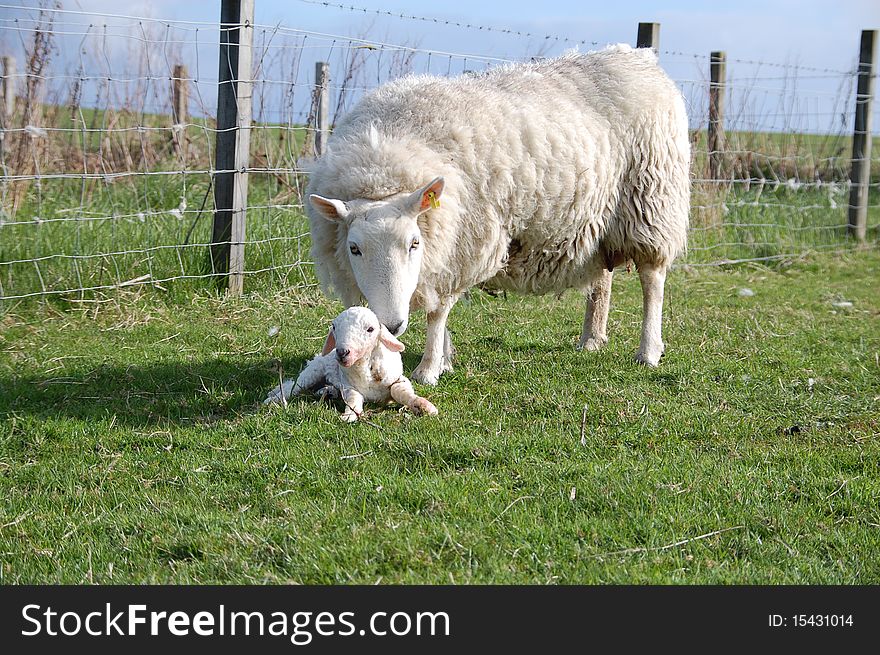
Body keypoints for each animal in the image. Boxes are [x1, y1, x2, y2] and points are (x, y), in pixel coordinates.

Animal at [262, 304, 438, 422]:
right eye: (334, 327)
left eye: (370, 329)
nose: (342, 352)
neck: (367, 368)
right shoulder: (348, 386)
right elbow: (353, 398)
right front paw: (349, 415)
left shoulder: (398, 379)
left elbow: (400, 391)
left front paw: (423, 406)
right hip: (314, 370)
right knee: (295, 385)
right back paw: (275, 397)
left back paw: (327, 392)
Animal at [306, 44, 692, 384]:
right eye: (354, 249)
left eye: (414, 243)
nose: (393, 324)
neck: (383, 165)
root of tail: (638, 57)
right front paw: (444, 359)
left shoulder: (460, 244)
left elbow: (437, 312)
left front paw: (429, 368)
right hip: (600, 218)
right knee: (603, 276)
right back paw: (591, 339)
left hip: (651, 200)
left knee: (652, 280)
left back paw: (648, 351)